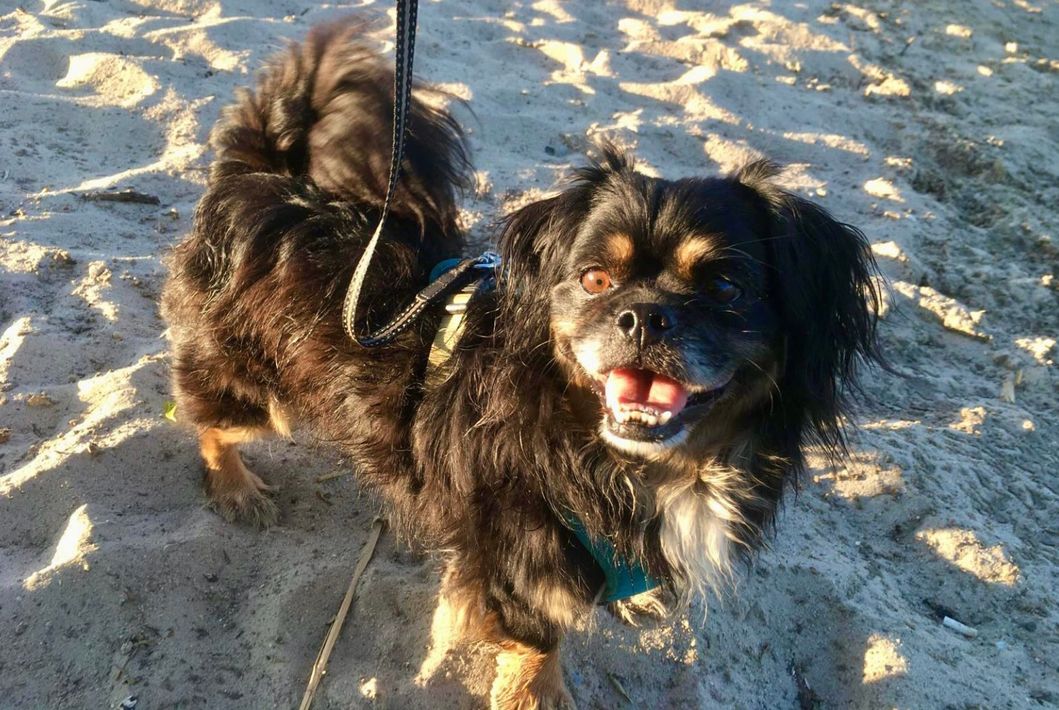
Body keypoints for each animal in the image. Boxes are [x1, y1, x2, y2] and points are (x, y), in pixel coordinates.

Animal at [161, 20, 880, 709]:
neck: (634, 464)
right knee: (208, 420)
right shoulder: (519, 555)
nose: (644, 316)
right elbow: (539, 638)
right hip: (254, 388)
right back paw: (233, 486)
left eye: (726, 288)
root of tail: (267, 178)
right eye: (594, 280)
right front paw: (537, 693)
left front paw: (637, 597)